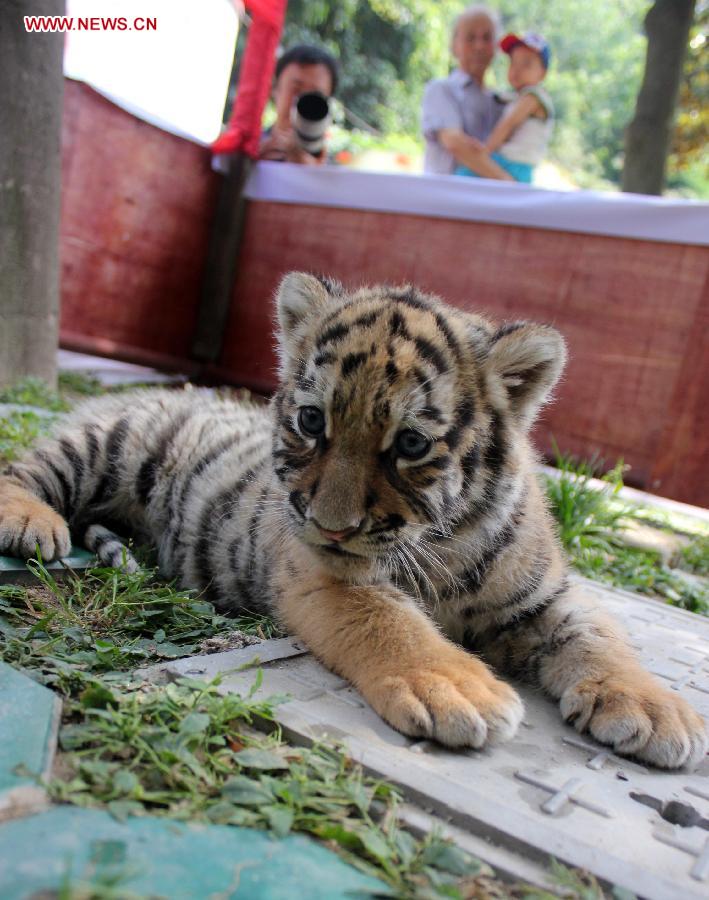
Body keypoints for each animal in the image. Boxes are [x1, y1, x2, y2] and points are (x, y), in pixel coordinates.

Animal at [1, 272, 706, 769]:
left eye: (412, 445)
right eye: (313, 422)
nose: (331, 526)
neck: (445, 539)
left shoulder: (545, 597)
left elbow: (598, 636)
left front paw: (654, 709)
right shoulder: (327, 575)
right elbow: (391, 622)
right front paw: (457, 688)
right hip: (112, 445)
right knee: (26, 465)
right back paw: (32, 524)